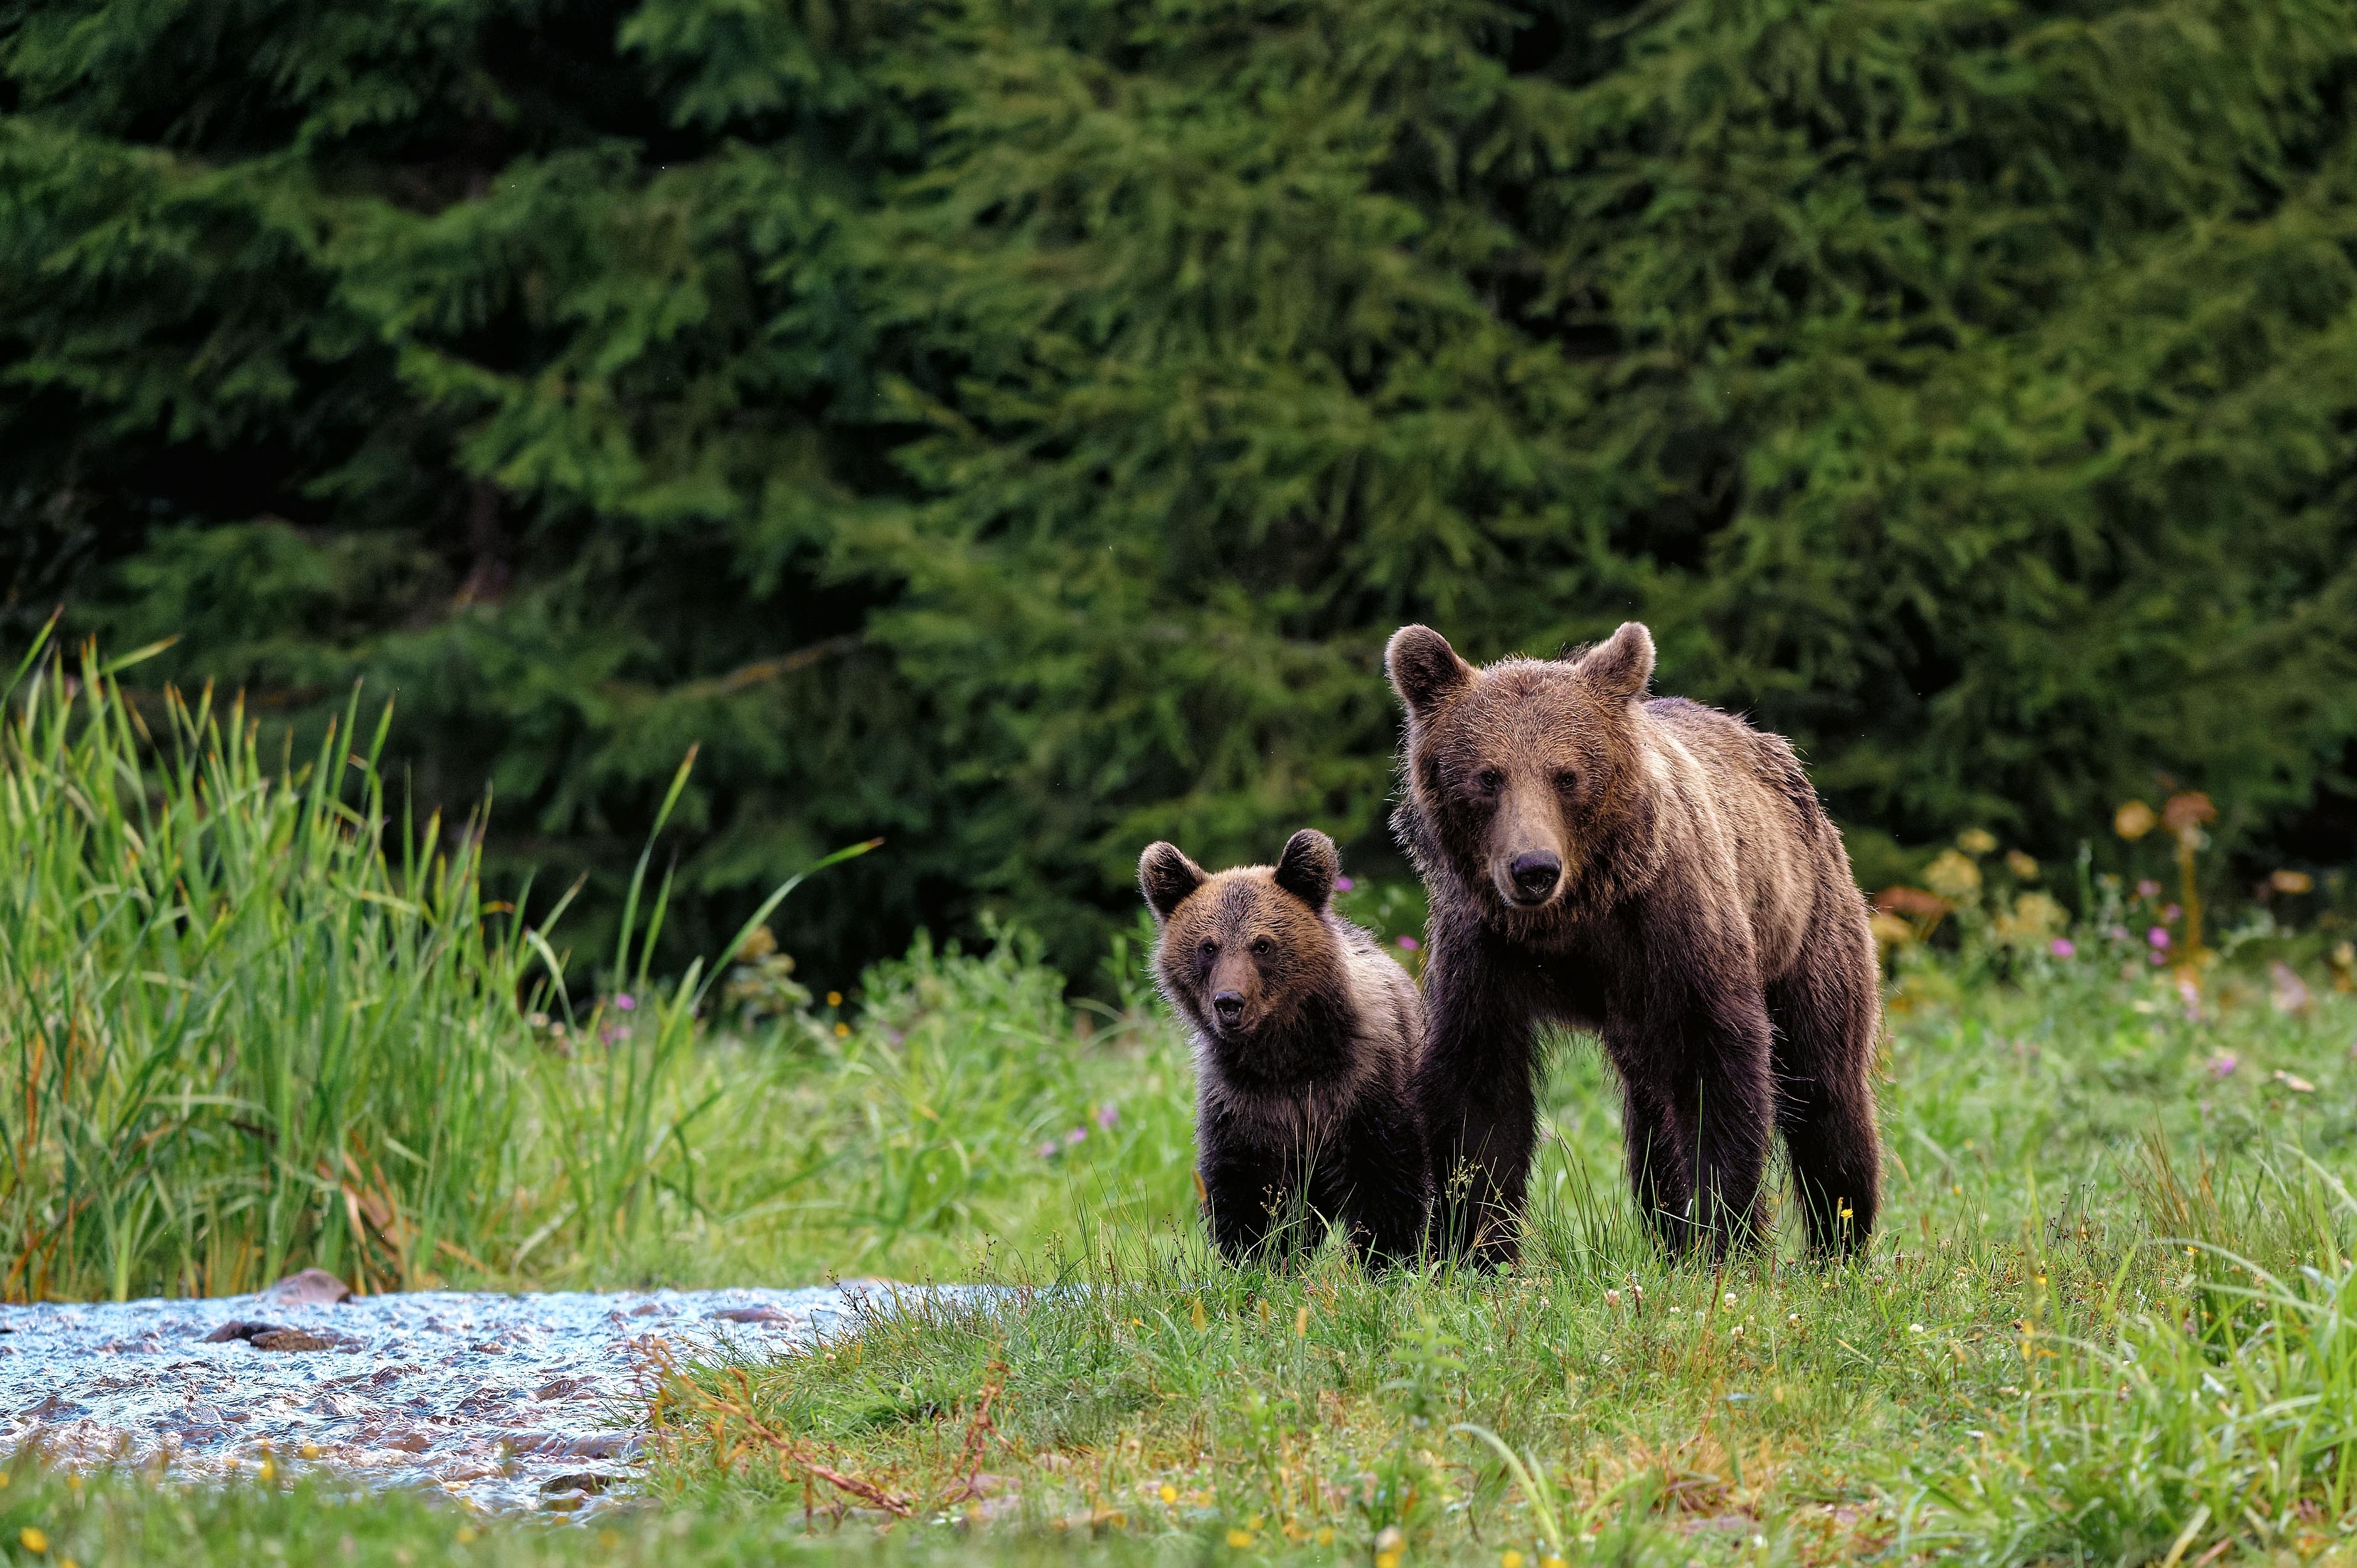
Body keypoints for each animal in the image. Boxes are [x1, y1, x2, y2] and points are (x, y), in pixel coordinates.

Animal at [1376, 622, 1876, 1264]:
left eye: (1566, 776)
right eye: (1488, 777)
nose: (1532, 868)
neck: (1576, 918)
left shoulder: (1674, 931)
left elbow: (1718, 1074)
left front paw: (1725, 1238)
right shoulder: (1484, 949)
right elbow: (1478, 1093)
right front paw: (1475, 1248)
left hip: (1806, 925)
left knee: (1825, 1088)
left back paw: (1840, 1242)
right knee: (1652, 1118)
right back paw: (1670, 1236)